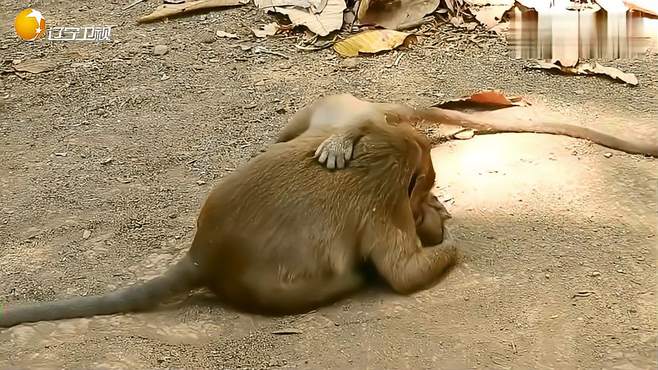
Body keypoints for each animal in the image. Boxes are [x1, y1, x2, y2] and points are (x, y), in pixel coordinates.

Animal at [0, 120, 456, 326]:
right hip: (270, 289)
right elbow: (403, 274)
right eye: (426, 180)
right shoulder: (387, 205)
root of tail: (204, 254)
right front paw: (444, 241)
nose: (427, 199)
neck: (390, 155)